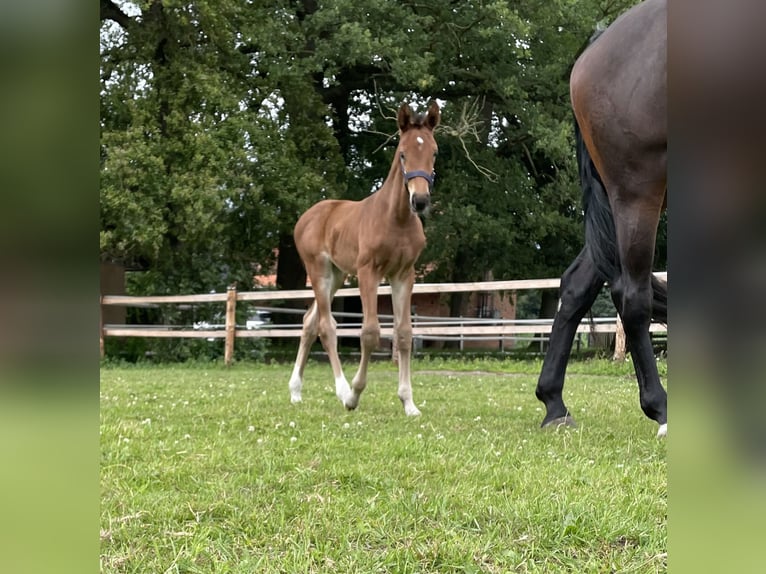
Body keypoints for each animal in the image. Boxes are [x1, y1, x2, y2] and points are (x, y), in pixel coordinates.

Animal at [290, 101, 444, 416]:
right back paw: (342, 390)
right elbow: (370, 333)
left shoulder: (404, 274)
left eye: (434, 152)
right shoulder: (368, 272)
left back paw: (296, 391)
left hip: (337, 275)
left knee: (309, 322)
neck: (396, 218)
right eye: (402, 153)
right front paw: (355, 395)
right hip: (319, 271)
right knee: (326, 326)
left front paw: (408, 402)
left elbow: (404, 334)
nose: (420, 201)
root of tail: (307, 217)